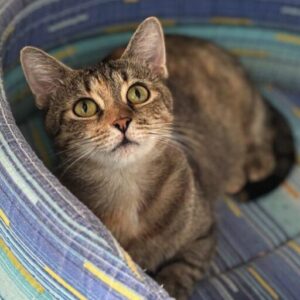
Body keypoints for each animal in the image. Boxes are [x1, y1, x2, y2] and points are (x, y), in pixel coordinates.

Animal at [20, 17, 274, 300]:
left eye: (137, 93)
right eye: (84, 107)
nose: (121, 122)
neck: (127, 188)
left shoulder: (203, 236)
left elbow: (182, 268)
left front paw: (170, 284)